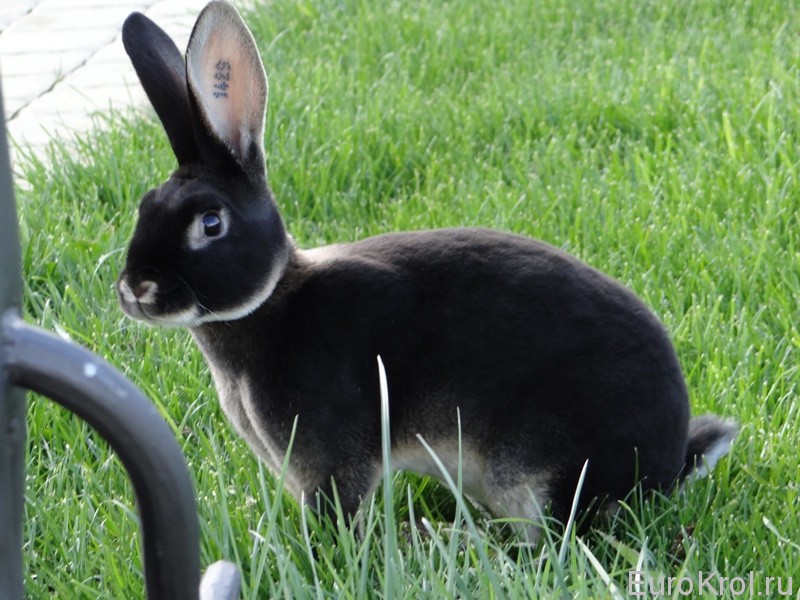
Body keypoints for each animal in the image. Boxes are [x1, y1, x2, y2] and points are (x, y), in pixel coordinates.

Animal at [117, 0, 737, 541]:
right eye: (144, 207)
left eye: (210, 224)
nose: (134, 289)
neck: (273, 300)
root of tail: (668, 464)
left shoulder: (330, 456)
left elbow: (337, 507)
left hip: (542, 470)